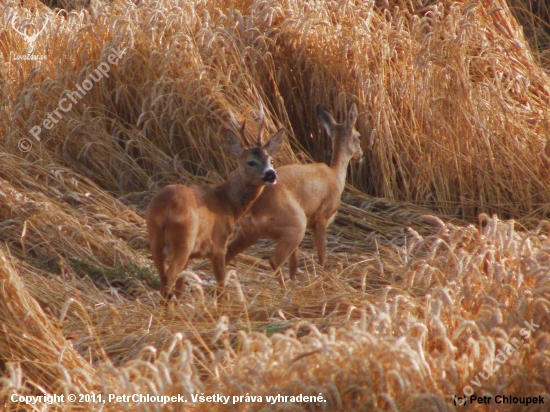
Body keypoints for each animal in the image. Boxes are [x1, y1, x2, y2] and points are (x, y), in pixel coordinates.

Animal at [146, 111, 284, 300]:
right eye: (251, 162)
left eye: (270, 160)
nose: (271, 174)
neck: (228, 204)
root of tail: (166, 207)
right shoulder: (219, 244)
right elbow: (221, 286)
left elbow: (181, 286)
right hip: (184, 240)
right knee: (168, 277)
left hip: (155, 238)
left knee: (164, 277)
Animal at [226, 101, 364, 284]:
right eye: (358, 136)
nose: (361, 155)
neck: (335, 174)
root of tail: (255, 207)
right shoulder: (321, 217)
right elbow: (322, 255)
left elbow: (294, 264)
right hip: (296, 222)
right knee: (274, 260)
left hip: (249, 230)